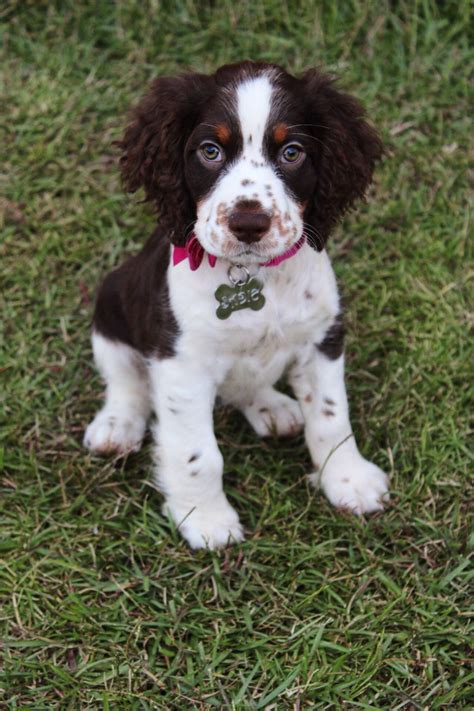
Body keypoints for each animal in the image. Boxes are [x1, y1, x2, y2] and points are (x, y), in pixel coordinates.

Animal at [84, 62, 388, 552]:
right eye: (209, 151)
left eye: (292, 152)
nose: (248, 223)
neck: (254, 275)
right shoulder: (181, 364)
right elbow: (198, 454)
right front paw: (206, 519)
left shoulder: (322, 338)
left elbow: (331, 417)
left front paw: (349, 481)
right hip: (112, 301)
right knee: (126, 381)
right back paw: (117, 425)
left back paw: (272, 408)